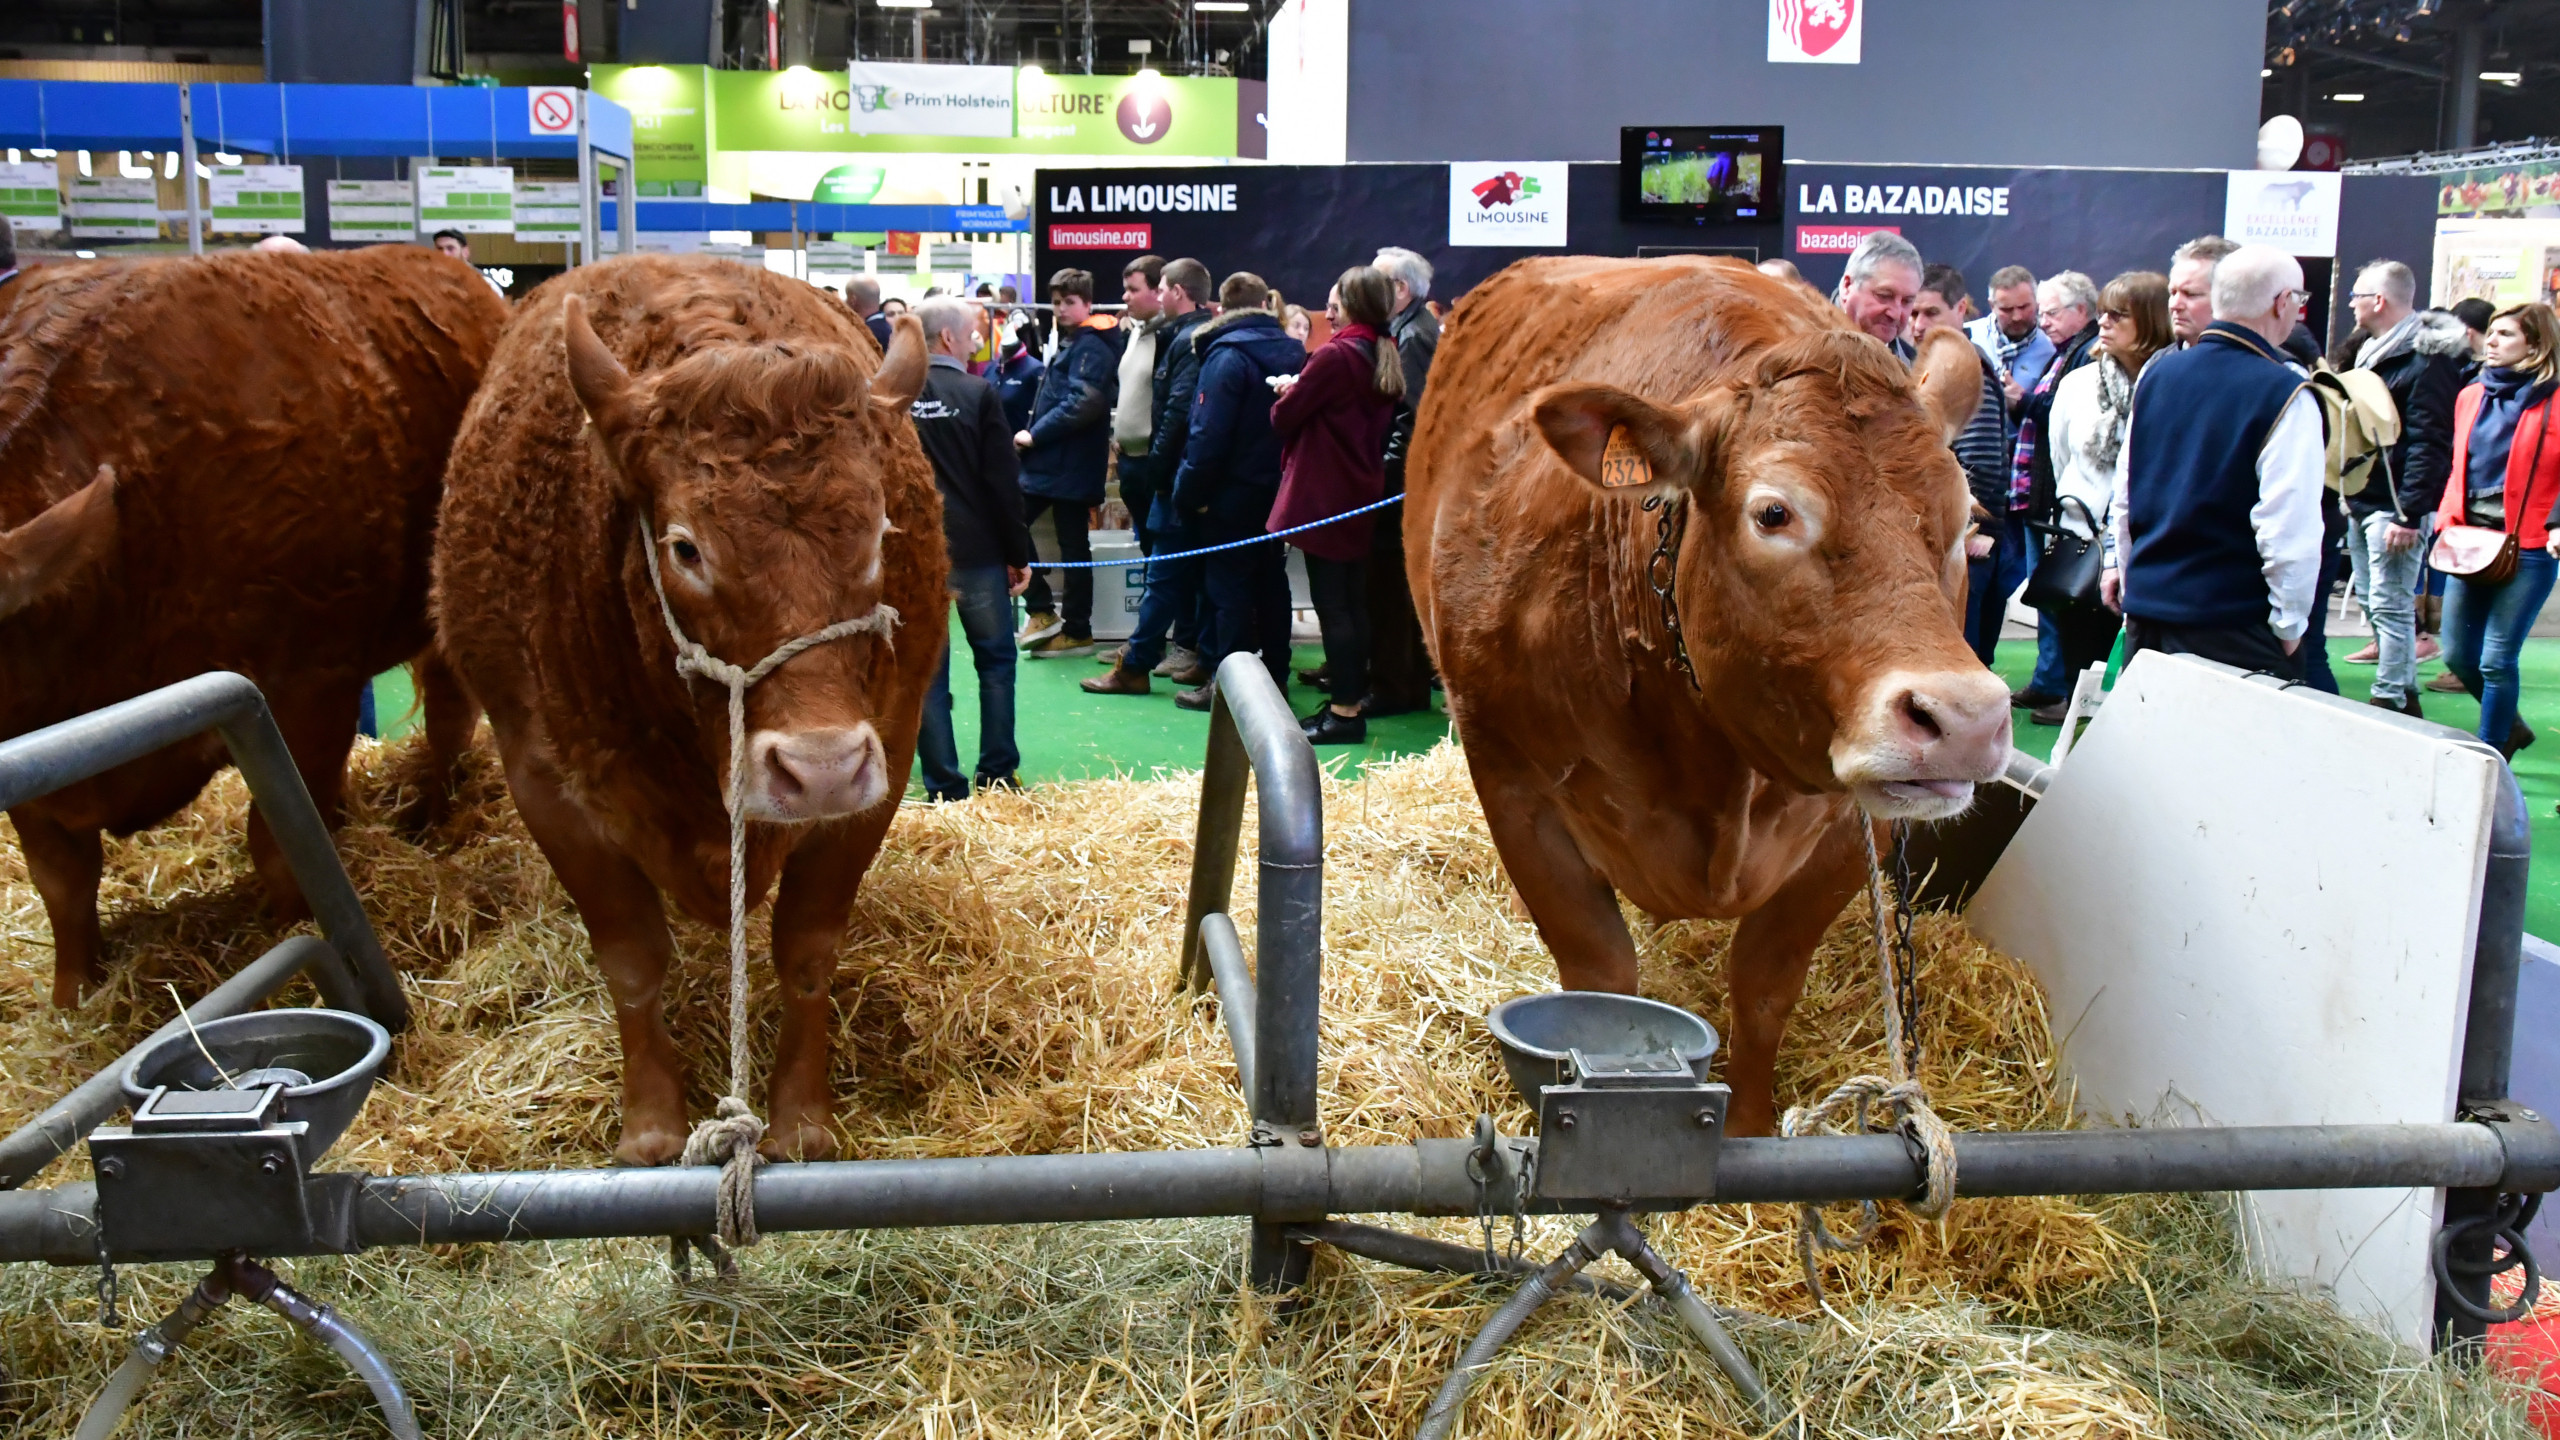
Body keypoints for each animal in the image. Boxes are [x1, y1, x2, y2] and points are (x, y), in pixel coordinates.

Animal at [0, 248, 506, 1007]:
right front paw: (71, 1000)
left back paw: (429, 811)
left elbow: (279, 845)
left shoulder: (308, 685)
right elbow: (62, 882)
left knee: (448, 714)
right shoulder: (39, 761)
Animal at [432, 255, 946, 1165]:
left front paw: (800, 1119)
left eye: (882, 532)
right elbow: (632, 961)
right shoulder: (544, 781)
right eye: (685, 547)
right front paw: (650, 1126)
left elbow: (808, 949)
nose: (818, 769)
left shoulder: (884, 755)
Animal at [1406, 255, 2012, 1137]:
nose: (1965, 718)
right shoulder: (1510, 776)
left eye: (1967, 516)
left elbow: (1764, 986)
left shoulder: (1848, 828)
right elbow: (1601, 974)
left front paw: (1751, 1126)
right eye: (1774, 512)